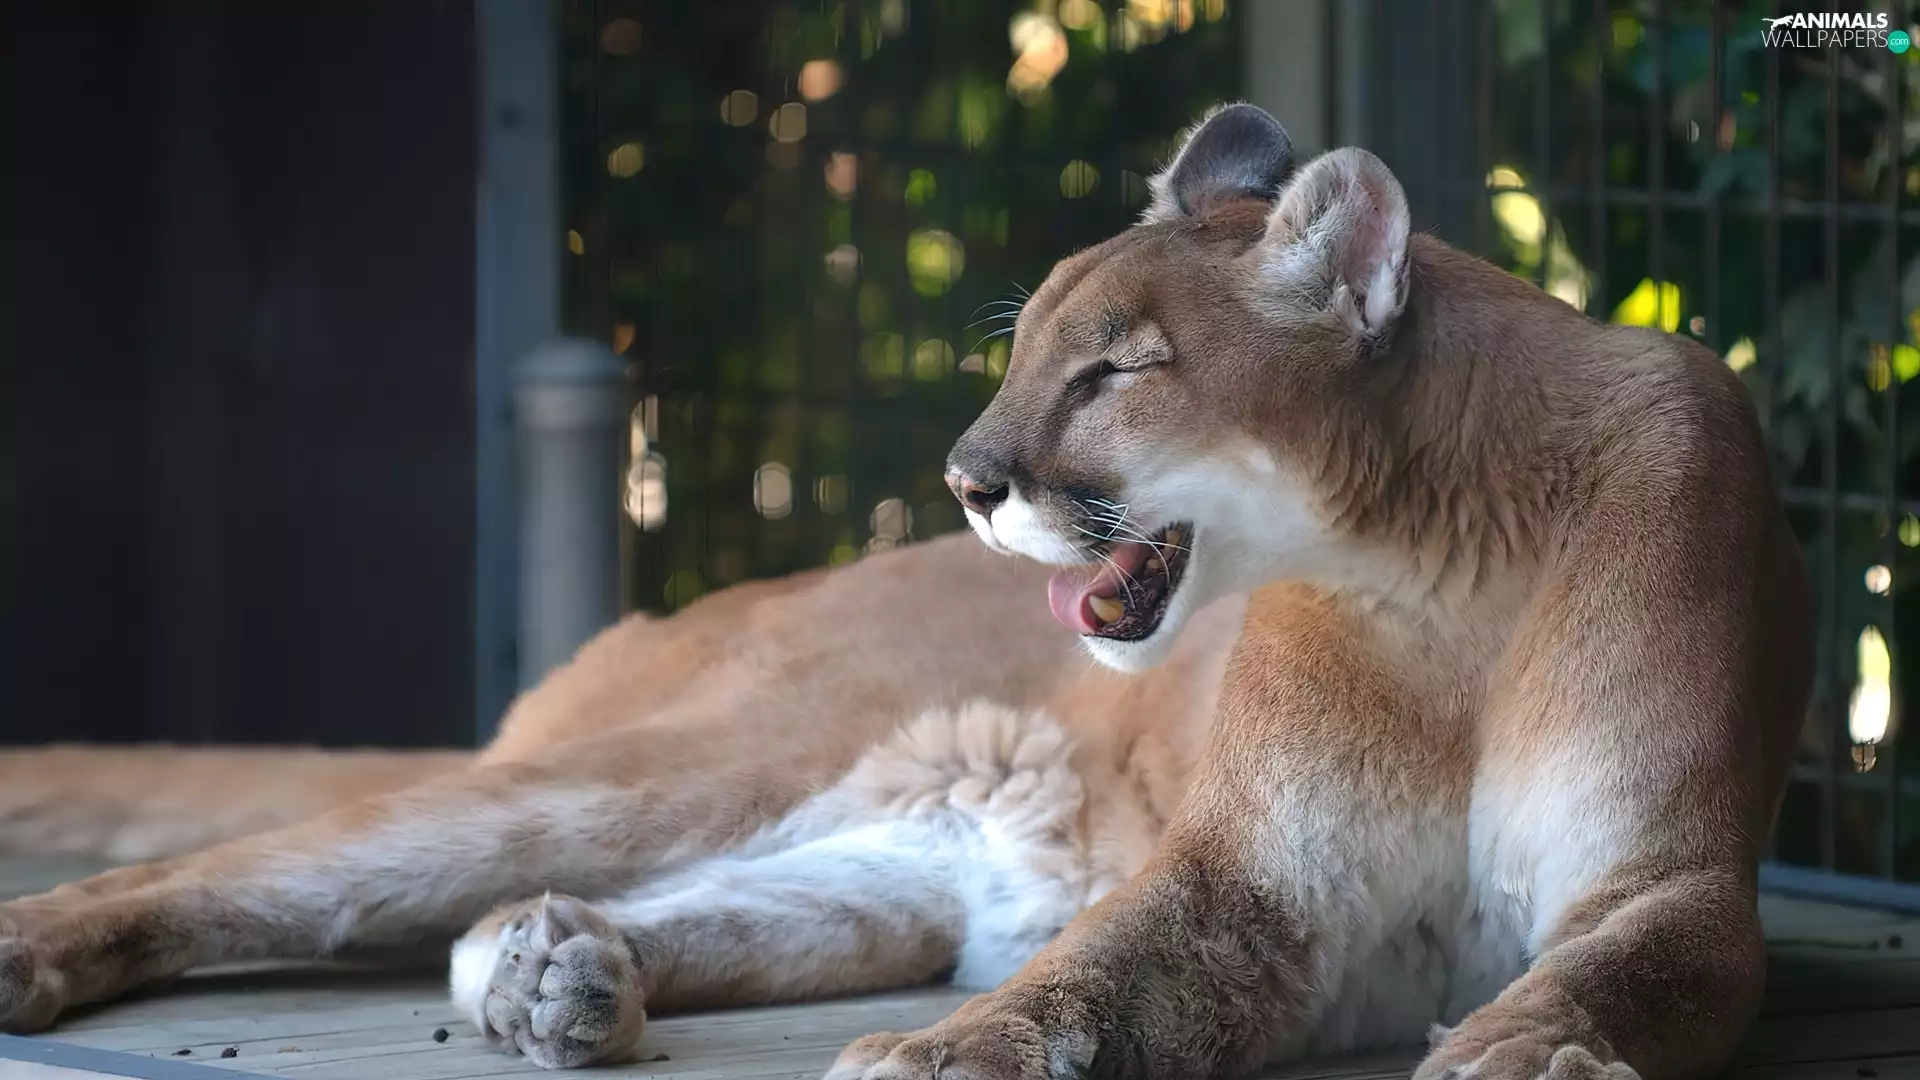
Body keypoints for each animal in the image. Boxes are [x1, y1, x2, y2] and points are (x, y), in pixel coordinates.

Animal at [0, 103, 1808, 1080]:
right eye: (1020, 349)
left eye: (1113, 372)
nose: (965, 477)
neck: (1428, 583)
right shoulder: (1260, 875)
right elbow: (1098, 972)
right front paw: (946, 1053)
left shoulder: (1669, 869)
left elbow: (1619, 971)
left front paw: (1522, 1043)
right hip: (681, 763)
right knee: (253, 875)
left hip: (893, 872)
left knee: (554, 922)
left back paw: (556, 972)